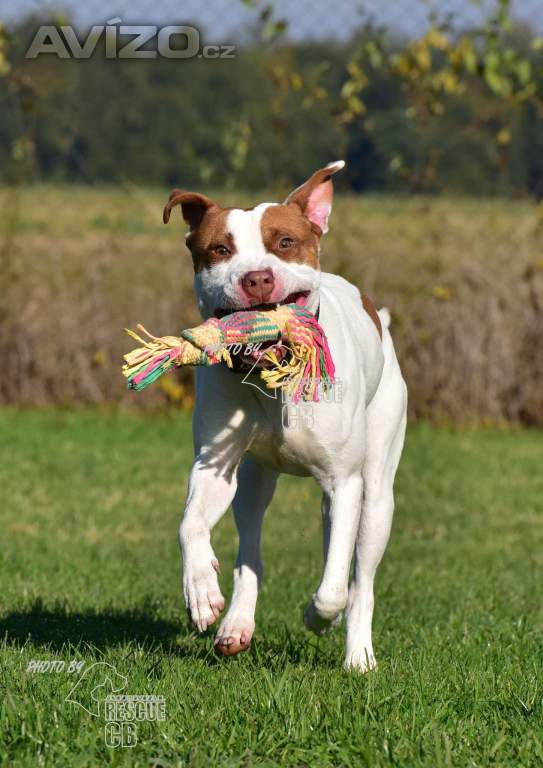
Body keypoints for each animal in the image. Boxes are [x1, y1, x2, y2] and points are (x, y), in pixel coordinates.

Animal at [164, 164, 406, 672]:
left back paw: (358, 655)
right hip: (254, 481)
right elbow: (190, 524)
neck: (274, 374)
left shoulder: (345, 482)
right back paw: (236, 625)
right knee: (249, 549)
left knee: (361, 577)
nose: (257, 279)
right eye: (221, 250)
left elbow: (336, 587)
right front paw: (201, 592)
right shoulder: (214, 467)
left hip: (378, 491)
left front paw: (319, 618)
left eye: (285, 242)